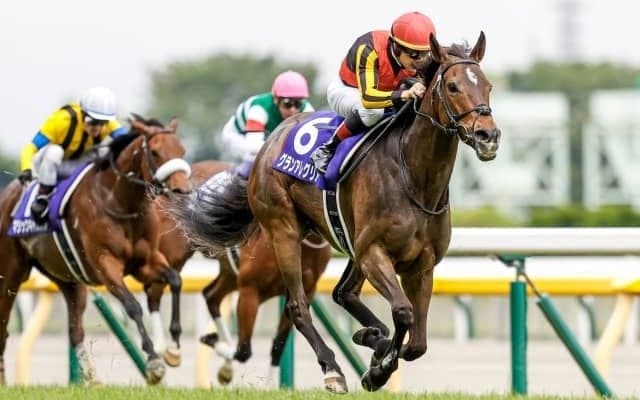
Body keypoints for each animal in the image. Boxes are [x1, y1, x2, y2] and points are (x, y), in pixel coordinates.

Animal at [0, 115, 192, 385]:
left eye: (181, 150)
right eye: (155, 151)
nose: (182, 190)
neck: (119, 202)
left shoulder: (146, 262)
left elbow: (175, 280)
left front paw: (174, 351)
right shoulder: (106, 263)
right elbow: (133, 306)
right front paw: (154, 361)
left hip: (68, 280)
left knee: (75, 330)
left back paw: (93, 379)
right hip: (10, 273)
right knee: (3, 325)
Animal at [149, 160, 332, 385]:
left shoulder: (304, 291)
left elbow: (276, 347)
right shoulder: (250, 291)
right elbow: (243, 350)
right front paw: (213, 342)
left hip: (229, 273)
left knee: (211, 295)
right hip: (173, 256)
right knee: (156, 292)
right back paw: (167, 349)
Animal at [168, 32, 500, 393]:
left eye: (488, 85)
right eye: (452, 86)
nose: (488, 136)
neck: (414, 177)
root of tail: (272, 140)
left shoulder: (421, 265)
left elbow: (417, 343)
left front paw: (377, 356)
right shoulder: (374, 253)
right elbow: (403, 312)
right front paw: (378, 369)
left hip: (345, 240)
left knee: (344, 294)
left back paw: (370, 336)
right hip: (284, 230)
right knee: (299, 306)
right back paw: (333, 368)